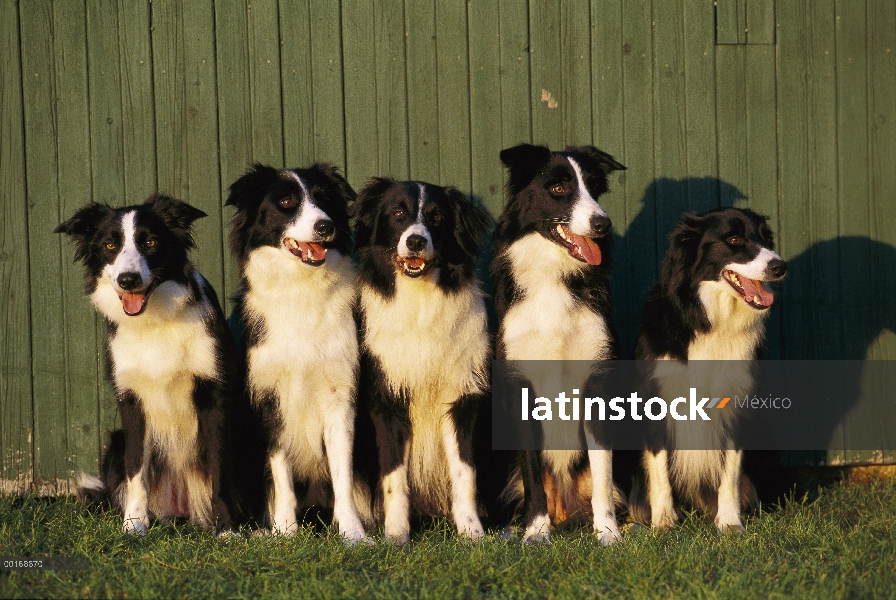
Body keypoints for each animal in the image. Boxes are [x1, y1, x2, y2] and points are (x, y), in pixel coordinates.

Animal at [57, 196, 240, 536]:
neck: (155, 319)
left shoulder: (214, 395)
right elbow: (135, 469)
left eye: (151, 242)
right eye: (110, 245)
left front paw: (228, 531)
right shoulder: (132, 401)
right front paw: (134, 526)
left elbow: (219, 468)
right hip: (115, 442)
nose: (128, 280)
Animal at [229, 162, 372, 540]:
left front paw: (353, 533)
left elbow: (342, 471)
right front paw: (285, 531)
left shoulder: (340, 394)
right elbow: (281, 472)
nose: (326, 226)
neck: (301, 288)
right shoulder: (269, 396)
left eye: (325, 200)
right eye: (287, 201)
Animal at [350, 177, 490, 544]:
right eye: (398, 214)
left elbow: (465, 471)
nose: (415, 241)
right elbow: (394, 476)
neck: (421, 300)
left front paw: (472, 532)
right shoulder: (387, 399)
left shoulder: (462, 396)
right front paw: (397, 535)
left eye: (437, 217)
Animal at [494, 144, 628, 544]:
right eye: (558, 189)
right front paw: (537, 533)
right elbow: (533, 474)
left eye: (594, 188)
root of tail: (566, 509)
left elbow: (602, 475)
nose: (602, 224)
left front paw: (608, 534)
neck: (556, 273)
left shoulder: (597, 384)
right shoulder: (521, 386)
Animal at [636, 209, 784, 532]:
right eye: (734, 239)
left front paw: (729, 522)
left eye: (766, 238)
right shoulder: (656, 401)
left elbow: (730, 470)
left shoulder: (735, 402)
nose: (780, 266)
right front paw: (663, 523)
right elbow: (659, 468)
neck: (710, 318)